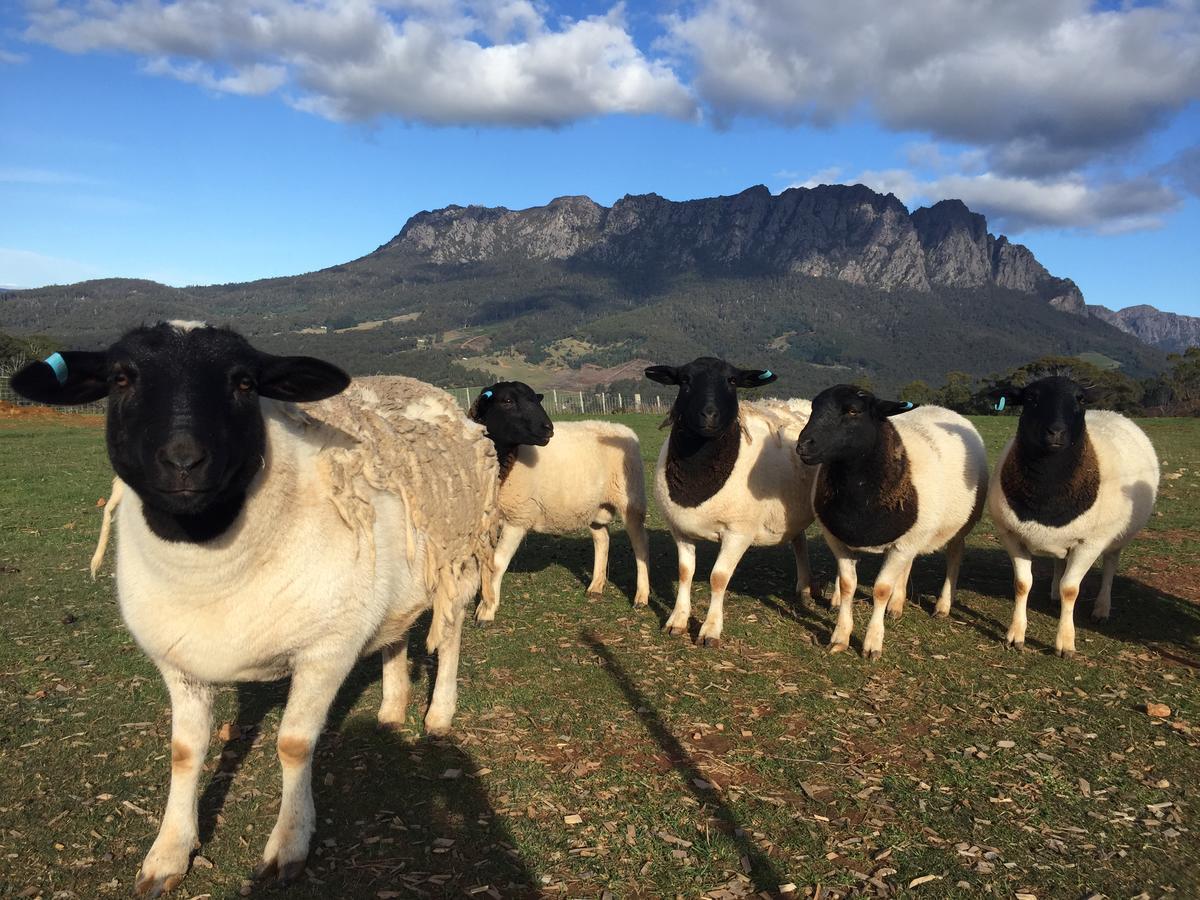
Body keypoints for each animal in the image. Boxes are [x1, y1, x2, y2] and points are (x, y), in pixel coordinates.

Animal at [9, 326, 499, 900]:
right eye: (120, 378)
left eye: (244, 382)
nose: (182, 461)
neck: (210, 568)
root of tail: (420, 386)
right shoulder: (179, 662)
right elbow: (184, 751)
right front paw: (168, 853)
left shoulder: (325, 650)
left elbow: (294, 745)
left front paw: (288, 845)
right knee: (395, 634)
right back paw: (391, 709)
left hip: (460, 563)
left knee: (452, 636)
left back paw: (439, 713)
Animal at [468, 381, 652, 619]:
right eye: (507, 401)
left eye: (536, 399)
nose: (549, 429)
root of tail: (622, 429)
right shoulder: (484, 522)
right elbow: (484, 564)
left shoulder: (518, 517)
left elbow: (497, 563)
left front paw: (487, 610)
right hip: (594, 506)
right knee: (602, 539)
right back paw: (595, 586)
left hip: (631, 501)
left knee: (640, 545)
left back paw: (641, 597)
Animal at [648, 355, 816, 643]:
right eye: (684, 380)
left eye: (733, 381)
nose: (709, 414)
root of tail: (800, 402)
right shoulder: (680, 529)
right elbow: (684, 573)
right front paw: (677, 621)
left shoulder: (738, 532)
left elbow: (718, 577)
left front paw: (710, 630)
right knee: (800, 541)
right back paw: (803, 588)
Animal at [796, 386, 984, 662]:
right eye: (813, 408)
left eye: (853, 411)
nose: (803, 445)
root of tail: (942, 409)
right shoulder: (840, 541)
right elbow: (848, 585)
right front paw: (840, 638)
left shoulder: (901, 545)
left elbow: (881, 590)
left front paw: (872, 643)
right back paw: (897, 605)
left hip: (960, 525)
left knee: (954, 556)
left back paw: (942, 606)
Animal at [984, 376, 1161, 657]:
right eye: (1031, 397)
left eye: (1081, 399)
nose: (1056, 432)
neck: (1047, 494)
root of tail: (1110, 411)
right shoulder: (1012, 535)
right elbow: (1022, 584)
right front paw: (1015, 635)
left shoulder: (1089, 544)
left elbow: (1071, 589)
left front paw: (1066, 643)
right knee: (1060, 562)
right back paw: (1055, 595)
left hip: (1116, 536)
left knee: (1110, 565)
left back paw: (1101, 609)